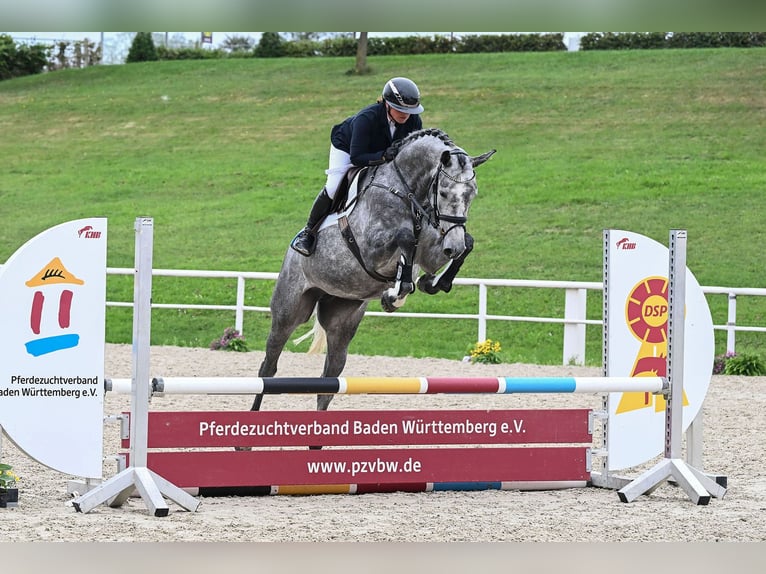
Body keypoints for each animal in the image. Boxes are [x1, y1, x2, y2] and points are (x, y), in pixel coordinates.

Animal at [252, 128, 498, 412]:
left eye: (472, 194)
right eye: (445, 193)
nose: (452, 247)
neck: (406, 190)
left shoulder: (433, 250)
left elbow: (464, 244)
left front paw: (432, 283)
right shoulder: (370, 249)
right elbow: (405, 239)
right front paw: (395, 294)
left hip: (342, 321)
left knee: (328, 382)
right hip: (288, 312)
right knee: (268, 368)